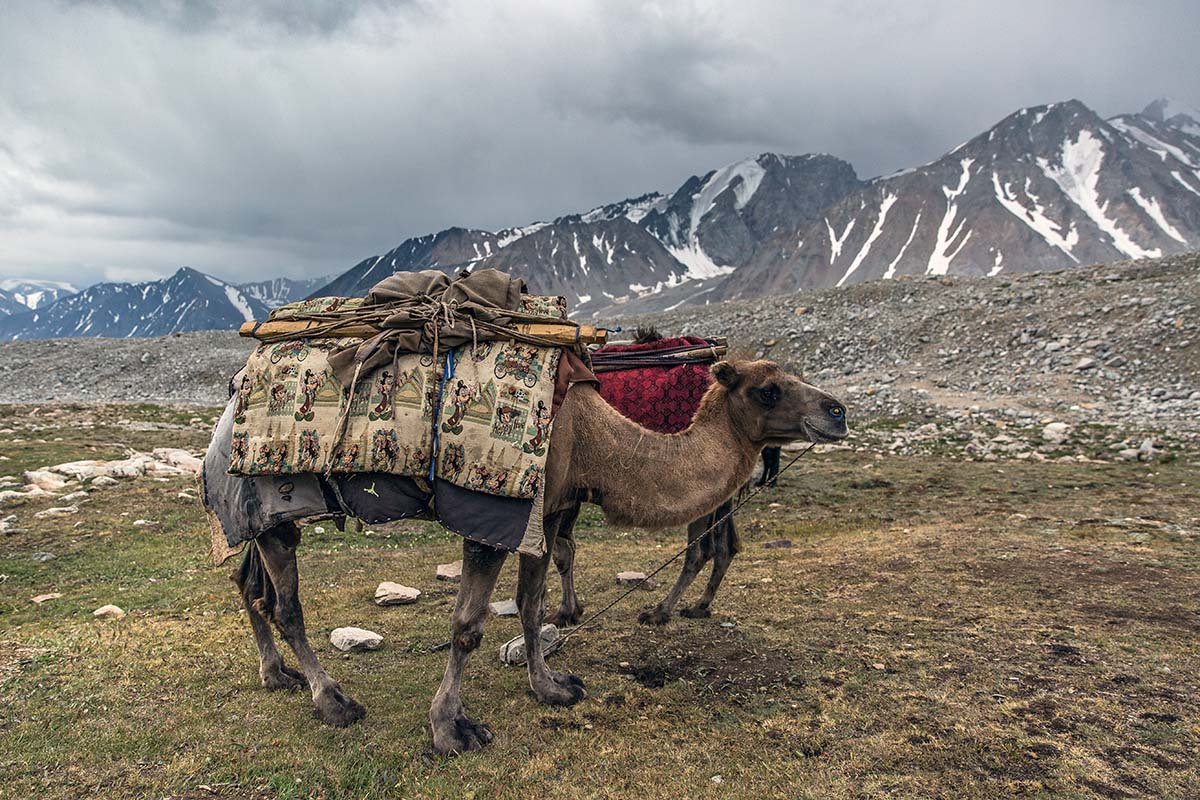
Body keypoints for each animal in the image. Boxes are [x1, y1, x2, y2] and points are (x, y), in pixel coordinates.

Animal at [223, 359, 844, 753]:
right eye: (768, 389)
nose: (837, 411)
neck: (593, 440)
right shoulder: (494, 513)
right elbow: (468, 625)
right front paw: (450, 730)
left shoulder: (544, 513)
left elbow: (531, 604)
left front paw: (552, 688)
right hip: (273, 497)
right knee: (286, 605)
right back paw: (332, 701)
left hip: (259, 515)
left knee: (250, 585)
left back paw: (276, 675)